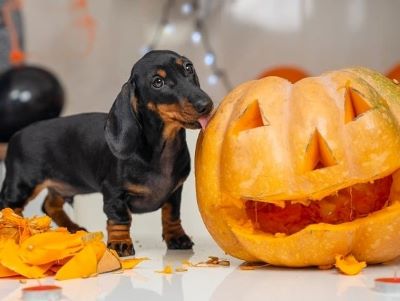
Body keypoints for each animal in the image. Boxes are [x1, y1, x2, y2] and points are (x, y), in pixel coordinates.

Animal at [0, 49, 214, 255]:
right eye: (157, 82)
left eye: (188, 67)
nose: (206, 104)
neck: (163, 148)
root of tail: (17, 134)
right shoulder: (114, 192)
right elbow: (120, 218)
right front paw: (120, 243)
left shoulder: (175, 191)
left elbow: (171, 214)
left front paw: (176, 237)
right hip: (22, 185)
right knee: (8, 207)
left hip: (64, 185)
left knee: (49, 204)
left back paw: (72, 228)